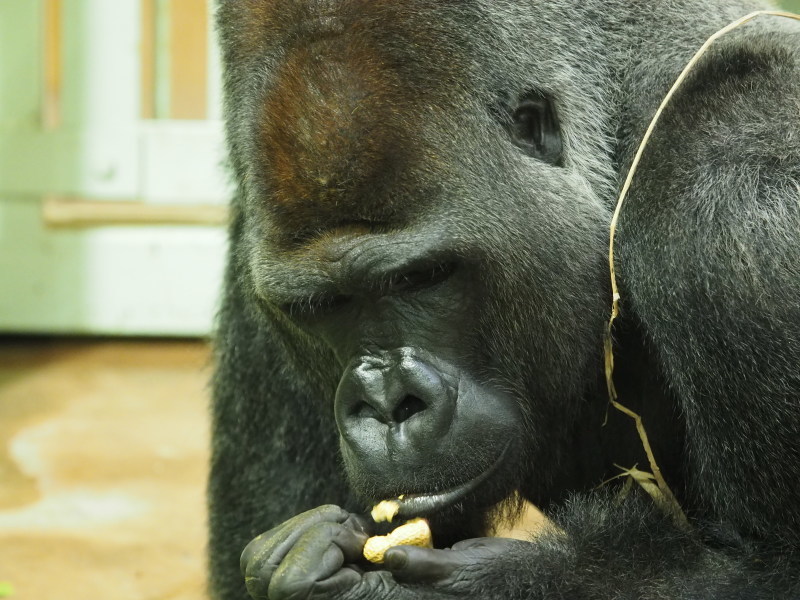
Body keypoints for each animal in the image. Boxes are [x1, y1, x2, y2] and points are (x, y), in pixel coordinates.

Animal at [209, 0, 800, 596]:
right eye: (323, 306)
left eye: (423, 276)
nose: (387, 402)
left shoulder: (742, 196)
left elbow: (777, 570)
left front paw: (484, 580)